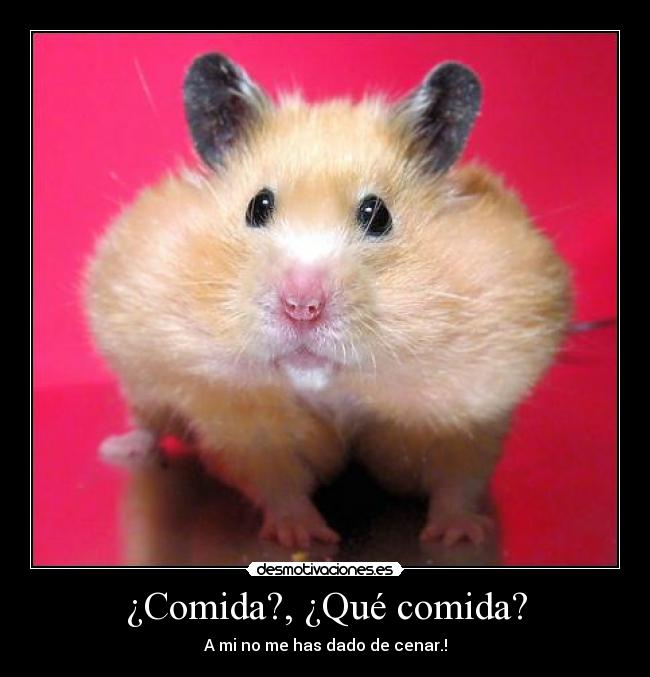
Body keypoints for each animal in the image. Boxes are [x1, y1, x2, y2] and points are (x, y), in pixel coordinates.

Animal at [84, 53, 571, 549]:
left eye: (377, 215)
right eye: (258, 206)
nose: (302, 306)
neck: (334, 388)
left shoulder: (470, 411)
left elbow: (458, 479)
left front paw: (460, 535)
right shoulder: (244, 424)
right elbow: (276, 482)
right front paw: (303, 536)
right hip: (142, 381)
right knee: (149, 419)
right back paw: (122, 448)